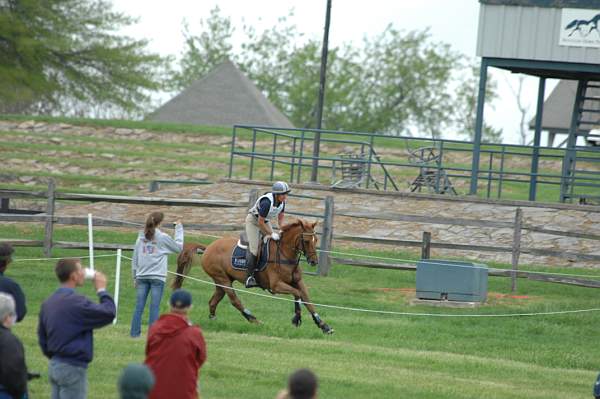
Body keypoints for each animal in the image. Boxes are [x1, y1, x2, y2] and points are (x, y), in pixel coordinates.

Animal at [172, 219, 332, 334]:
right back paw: (254, 320)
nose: (314, 261)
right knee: (235, 301)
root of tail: (208, 248)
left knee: (213, 301)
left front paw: (323, 325)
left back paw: (213, 321)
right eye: (306, 241)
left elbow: (307, 300)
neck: (285, 254)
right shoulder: (276, 286)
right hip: (223, 279)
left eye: (316, 240)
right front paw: (297, 318)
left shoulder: (298, 282)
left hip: (221, 281)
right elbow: (297, 295)